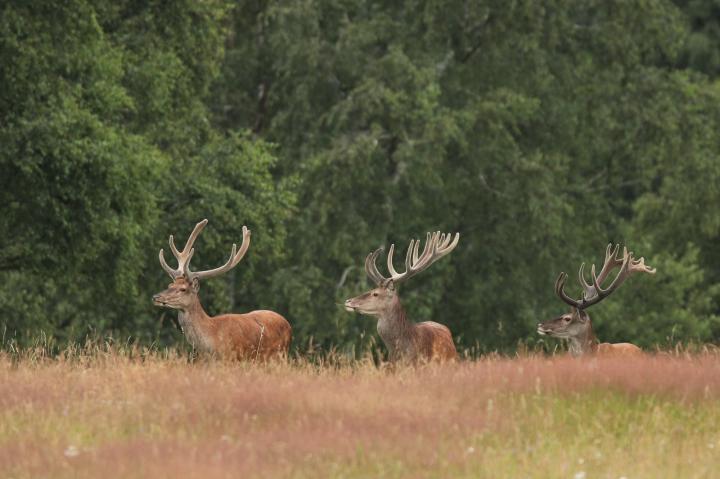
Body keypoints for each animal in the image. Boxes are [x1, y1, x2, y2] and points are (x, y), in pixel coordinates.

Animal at [153, 220, 292, 360]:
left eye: (183, 289)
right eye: (170, 285)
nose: (156, 297)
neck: (211, 340)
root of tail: (288, 325)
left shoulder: (230, 358)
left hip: (280, 355)